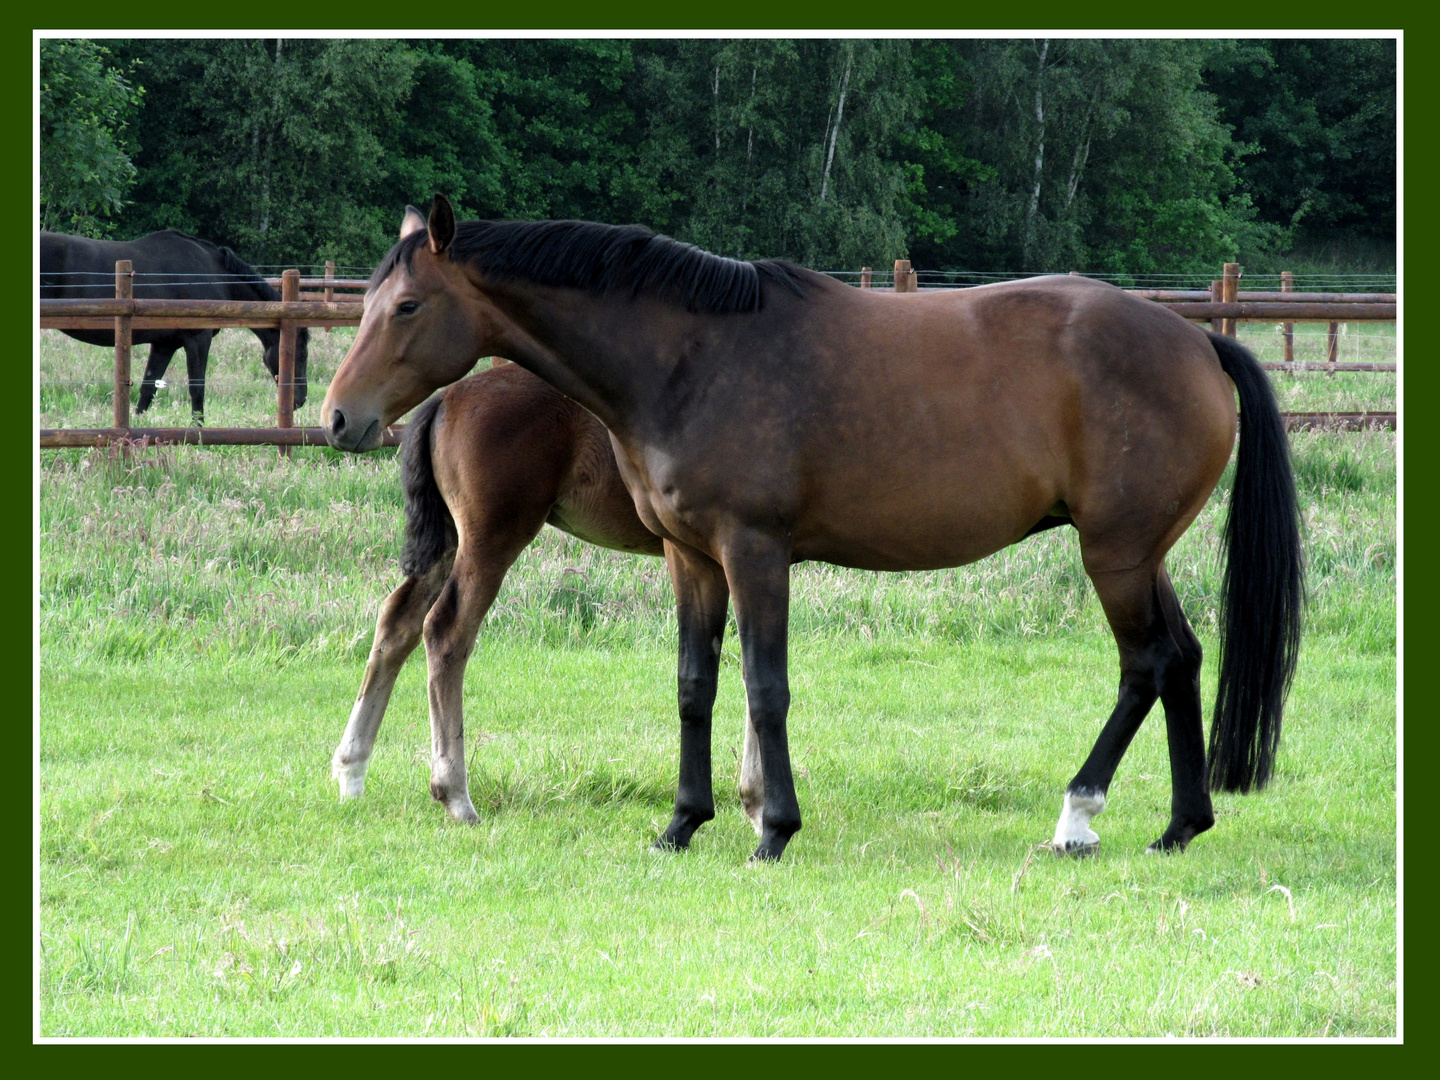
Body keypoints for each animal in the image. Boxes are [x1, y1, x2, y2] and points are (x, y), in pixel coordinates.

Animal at [39, 230, 309, 426]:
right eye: (301, 354)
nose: (300, 400)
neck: (212, 274)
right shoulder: (198, 339)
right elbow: (197, 389)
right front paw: (198, 430)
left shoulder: (164, 345)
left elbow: (148, 389)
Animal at [324, 198, 1307, 869]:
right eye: (365, 303)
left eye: (406, 307)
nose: (339, 417)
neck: (689, 359)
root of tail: (1196, 340)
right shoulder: (693, 558)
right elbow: (694, 686)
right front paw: (683, 823)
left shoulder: (755, 552)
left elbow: (766, 690)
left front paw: (773, 829)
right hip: (1141, 553)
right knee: (1180, 660)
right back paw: (1181, 824)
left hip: (1113, 554)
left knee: (1145, 664)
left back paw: (1077, 815)